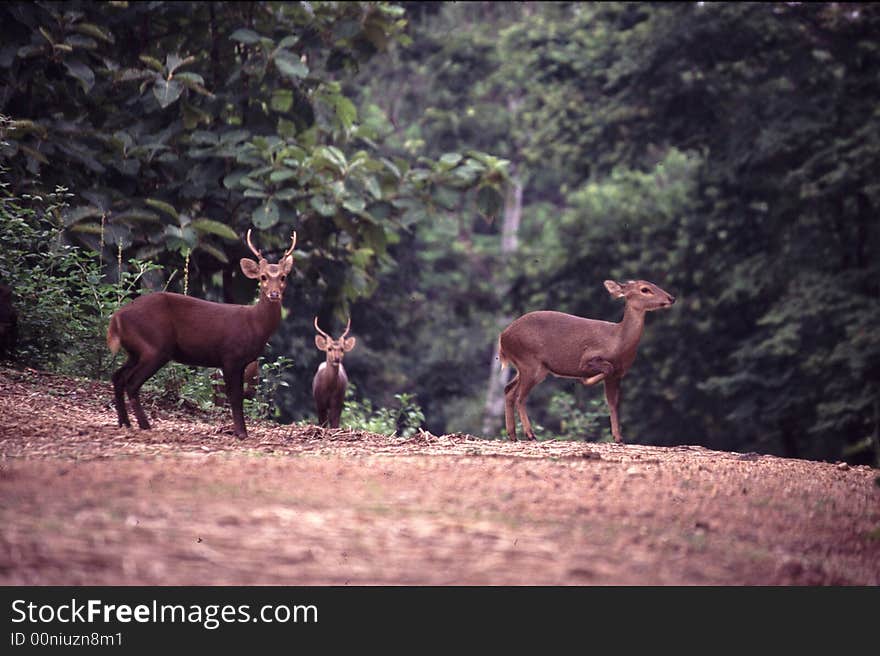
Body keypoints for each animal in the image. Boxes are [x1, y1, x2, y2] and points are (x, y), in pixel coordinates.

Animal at [105, 228, 300, 438]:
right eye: (263, 277)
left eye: (283, 277)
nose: (274, 294)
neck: (254, 324)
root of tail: (117, 318)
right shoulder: (230, 356)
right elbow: (235, 397)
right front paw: (241, 433)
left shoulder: (240, 362)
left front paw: (242, 432)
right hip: (155, 347)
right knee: (132, 383)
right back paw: (144, 425)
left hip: (135, 350)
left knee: (118, 377)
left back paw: (125, 423)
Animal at [498, 280, 676, 444]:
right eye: (645, 289)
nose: (671, 298)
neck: (617, 340)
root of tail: (502, 338)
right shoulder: (588, 359)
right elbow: (607, 369)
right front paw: (585, 380)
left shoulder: (619, 375)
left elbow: (613, 402)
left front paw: (618, 438)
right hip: (530, 363)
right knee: (520, 397)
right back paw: (530, 435)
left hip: (527, 367)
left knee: (509, 390)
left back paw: (512, 435)